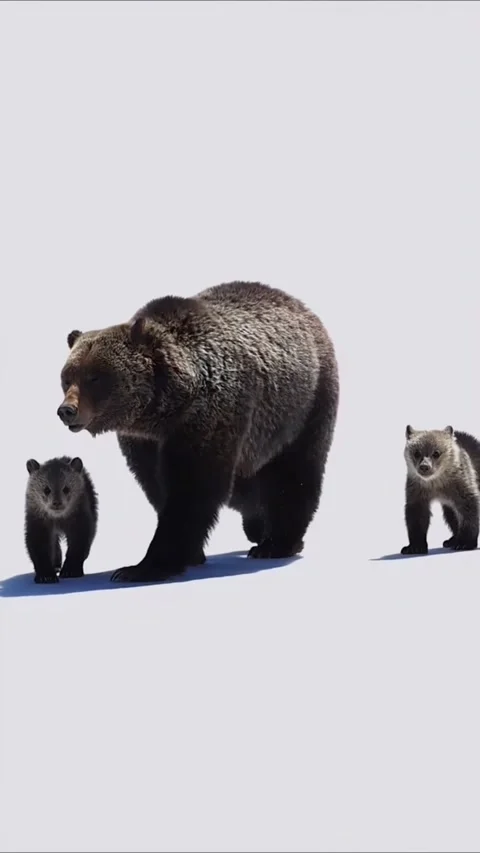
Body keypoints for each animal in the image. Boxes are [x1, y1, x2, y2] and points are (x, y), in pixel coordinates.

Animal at [57, 281, 339, 583]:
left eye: (95, 377)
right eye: (67, 377)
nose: (67, 410)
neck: (164, 409)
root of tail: (303, 308)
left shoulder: (207, 420)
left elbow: (193, 489)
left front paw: (141, 567)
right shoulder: (144, 442)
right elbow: (158, 486)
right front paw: (190, 554)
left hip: (304, 407)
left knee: (295, 473)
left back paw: (276, 543)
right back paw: (258, 526)